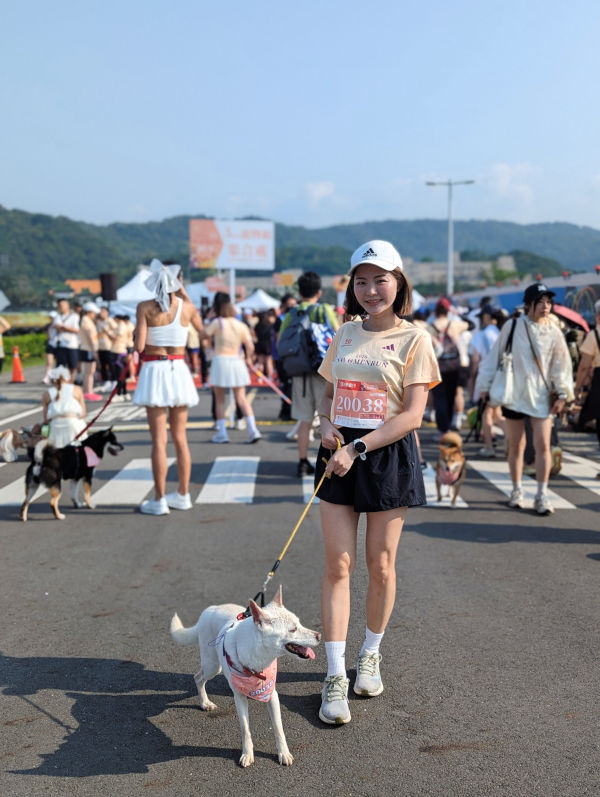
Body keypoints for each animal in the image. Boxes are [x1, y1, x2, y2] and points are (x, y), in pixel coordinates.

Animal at [170, 586, 321, 768]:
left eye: (299, 623)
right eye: (293, 630)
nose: (319, 636)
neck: (258, 658)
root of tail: (210, 609)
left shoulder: (272, 695)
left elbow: (278, 729)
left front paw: (283, 753)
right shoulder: (239, 698)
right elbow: (245, 729)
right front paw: (247, 754)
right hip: (212, 666)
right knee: (197, 678)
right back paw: (205, 702)